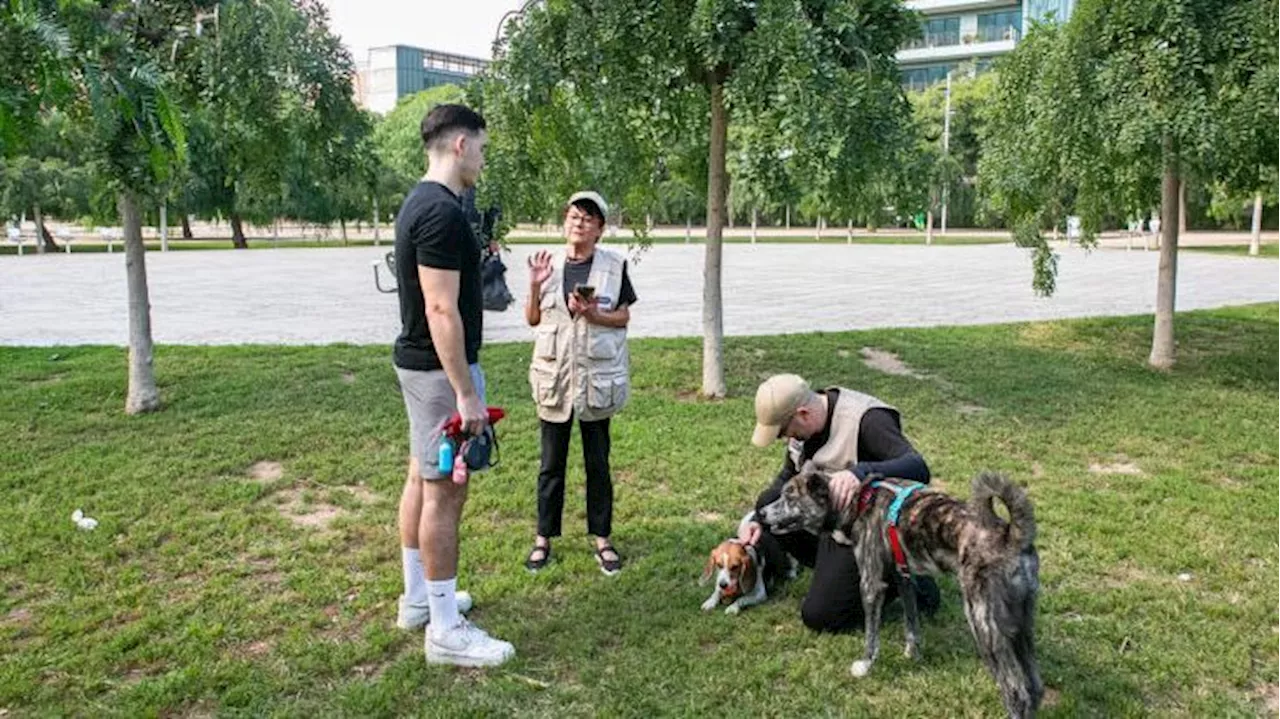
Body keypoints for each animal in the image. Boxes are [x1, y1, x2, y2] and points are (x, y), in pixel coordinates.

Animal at [757, 465, 1039, 716]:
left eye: (789, 496)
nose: (760, 514)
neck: (857, 501)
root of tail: (1010, 534)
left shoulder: (870, 584)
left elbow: (871, 635)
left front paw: (866, 665)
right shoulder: (903, 577)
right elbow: (911, 622)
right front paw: (912, 654)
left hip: (982, 623)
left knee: (1016, 692)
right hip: (1021, 625)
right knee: (1034, 686)